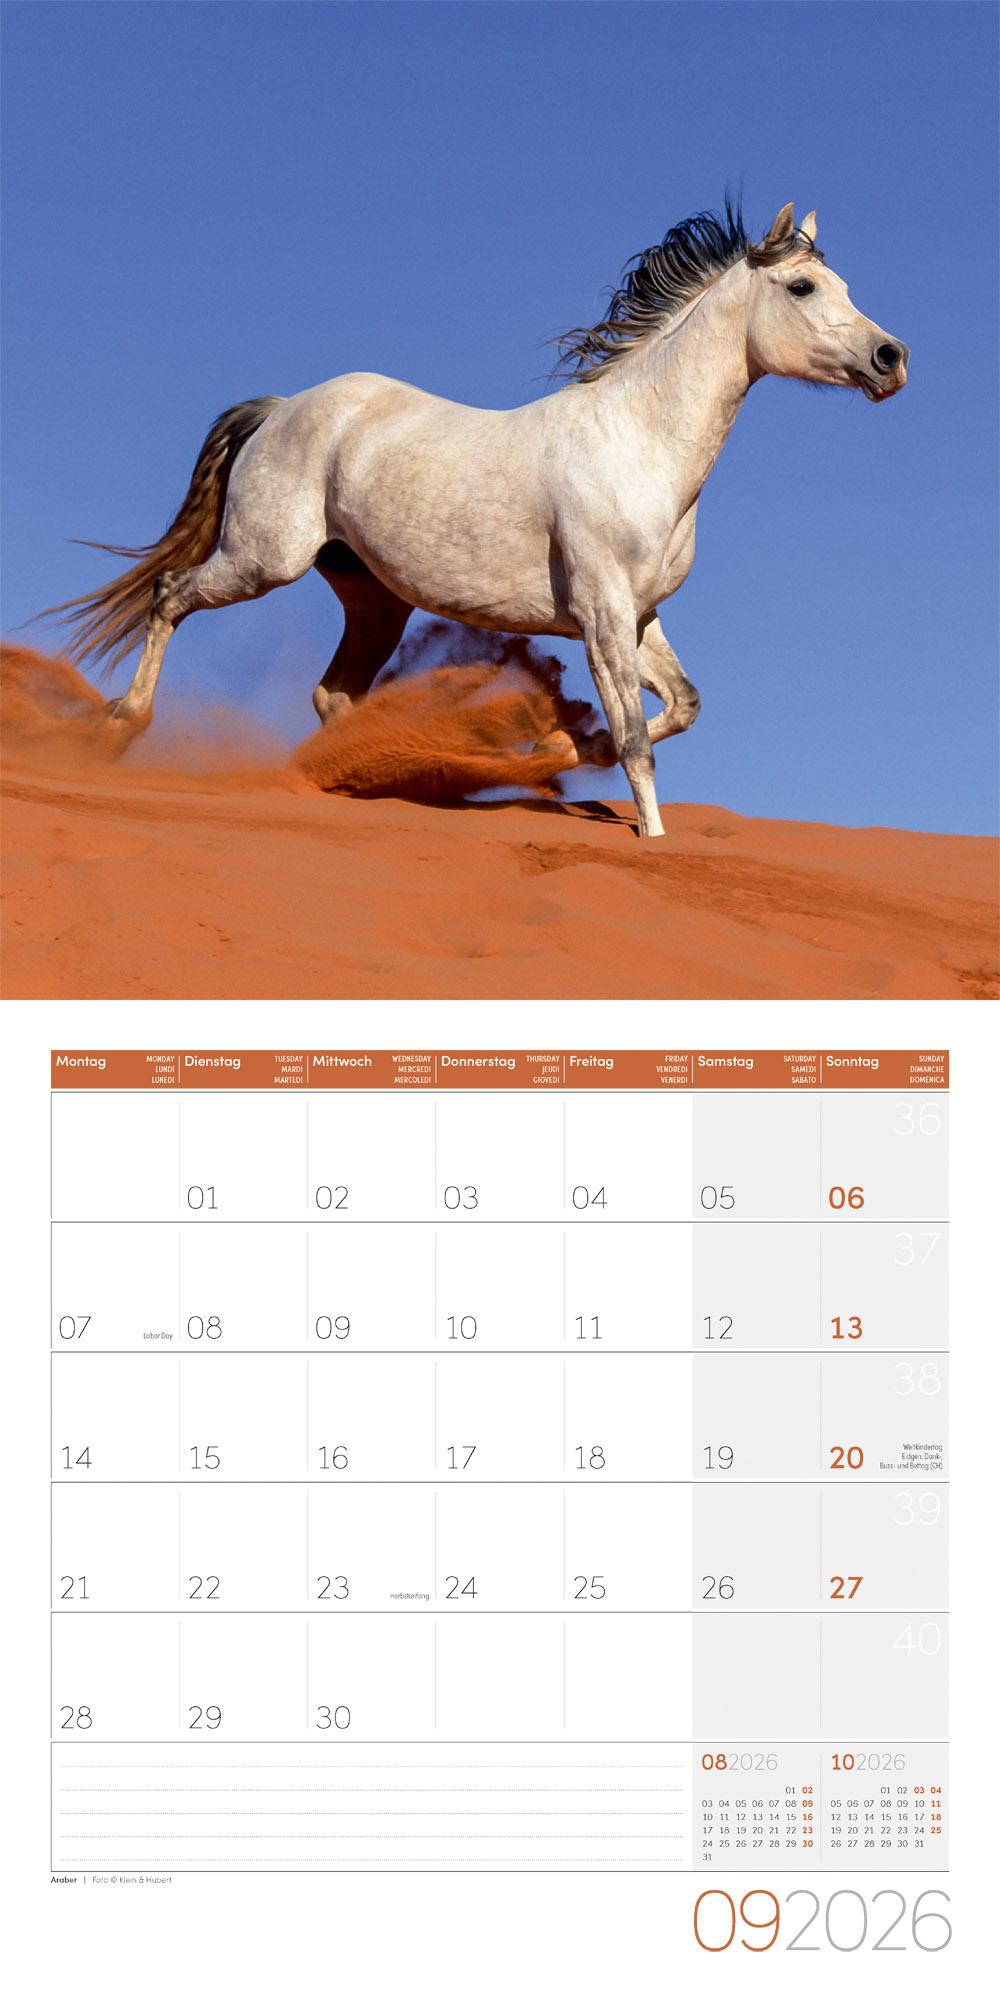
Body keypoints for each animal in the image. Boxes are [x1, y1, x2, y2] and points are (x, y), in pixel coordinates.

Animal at [48, 200, 907, 838]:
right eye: (802, 289)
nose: (891, 359)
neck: (639, 443)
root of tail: (284, 406)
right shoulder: (600, 613)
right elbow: (636, 741)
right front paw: (649, 835)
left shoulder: (639, 616)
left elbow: (683, 705)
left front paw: (557, 745)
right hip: (265, 559)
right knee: (169, 596)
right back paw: (122, 725)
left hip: (374, 598)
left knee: (332, 693)